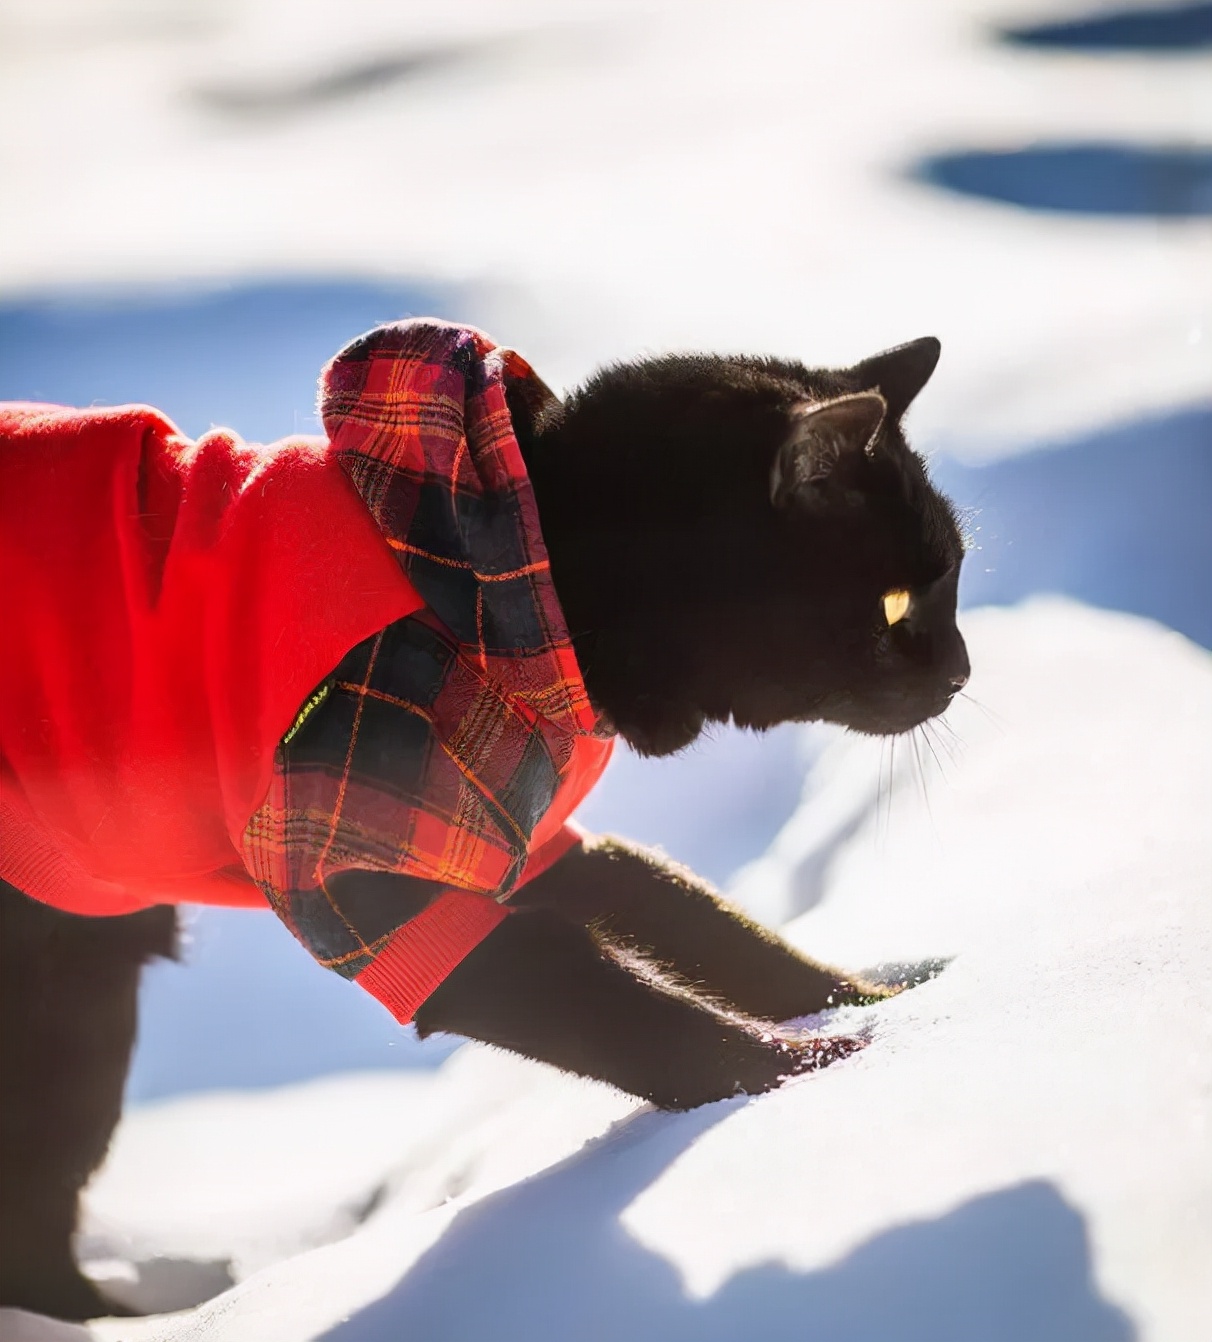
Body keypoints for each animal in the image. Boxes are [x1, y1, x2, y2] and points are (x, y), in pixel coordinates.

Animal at [0, 330, 966, 1315]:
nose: (964, 670)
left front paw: (891, 1002)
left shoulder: (527, 843)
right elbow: (643, 1022)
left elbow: (703, 927)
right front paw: (821, 1073)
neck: (508, 585)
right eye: (894, 604)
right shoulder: (374, 891)